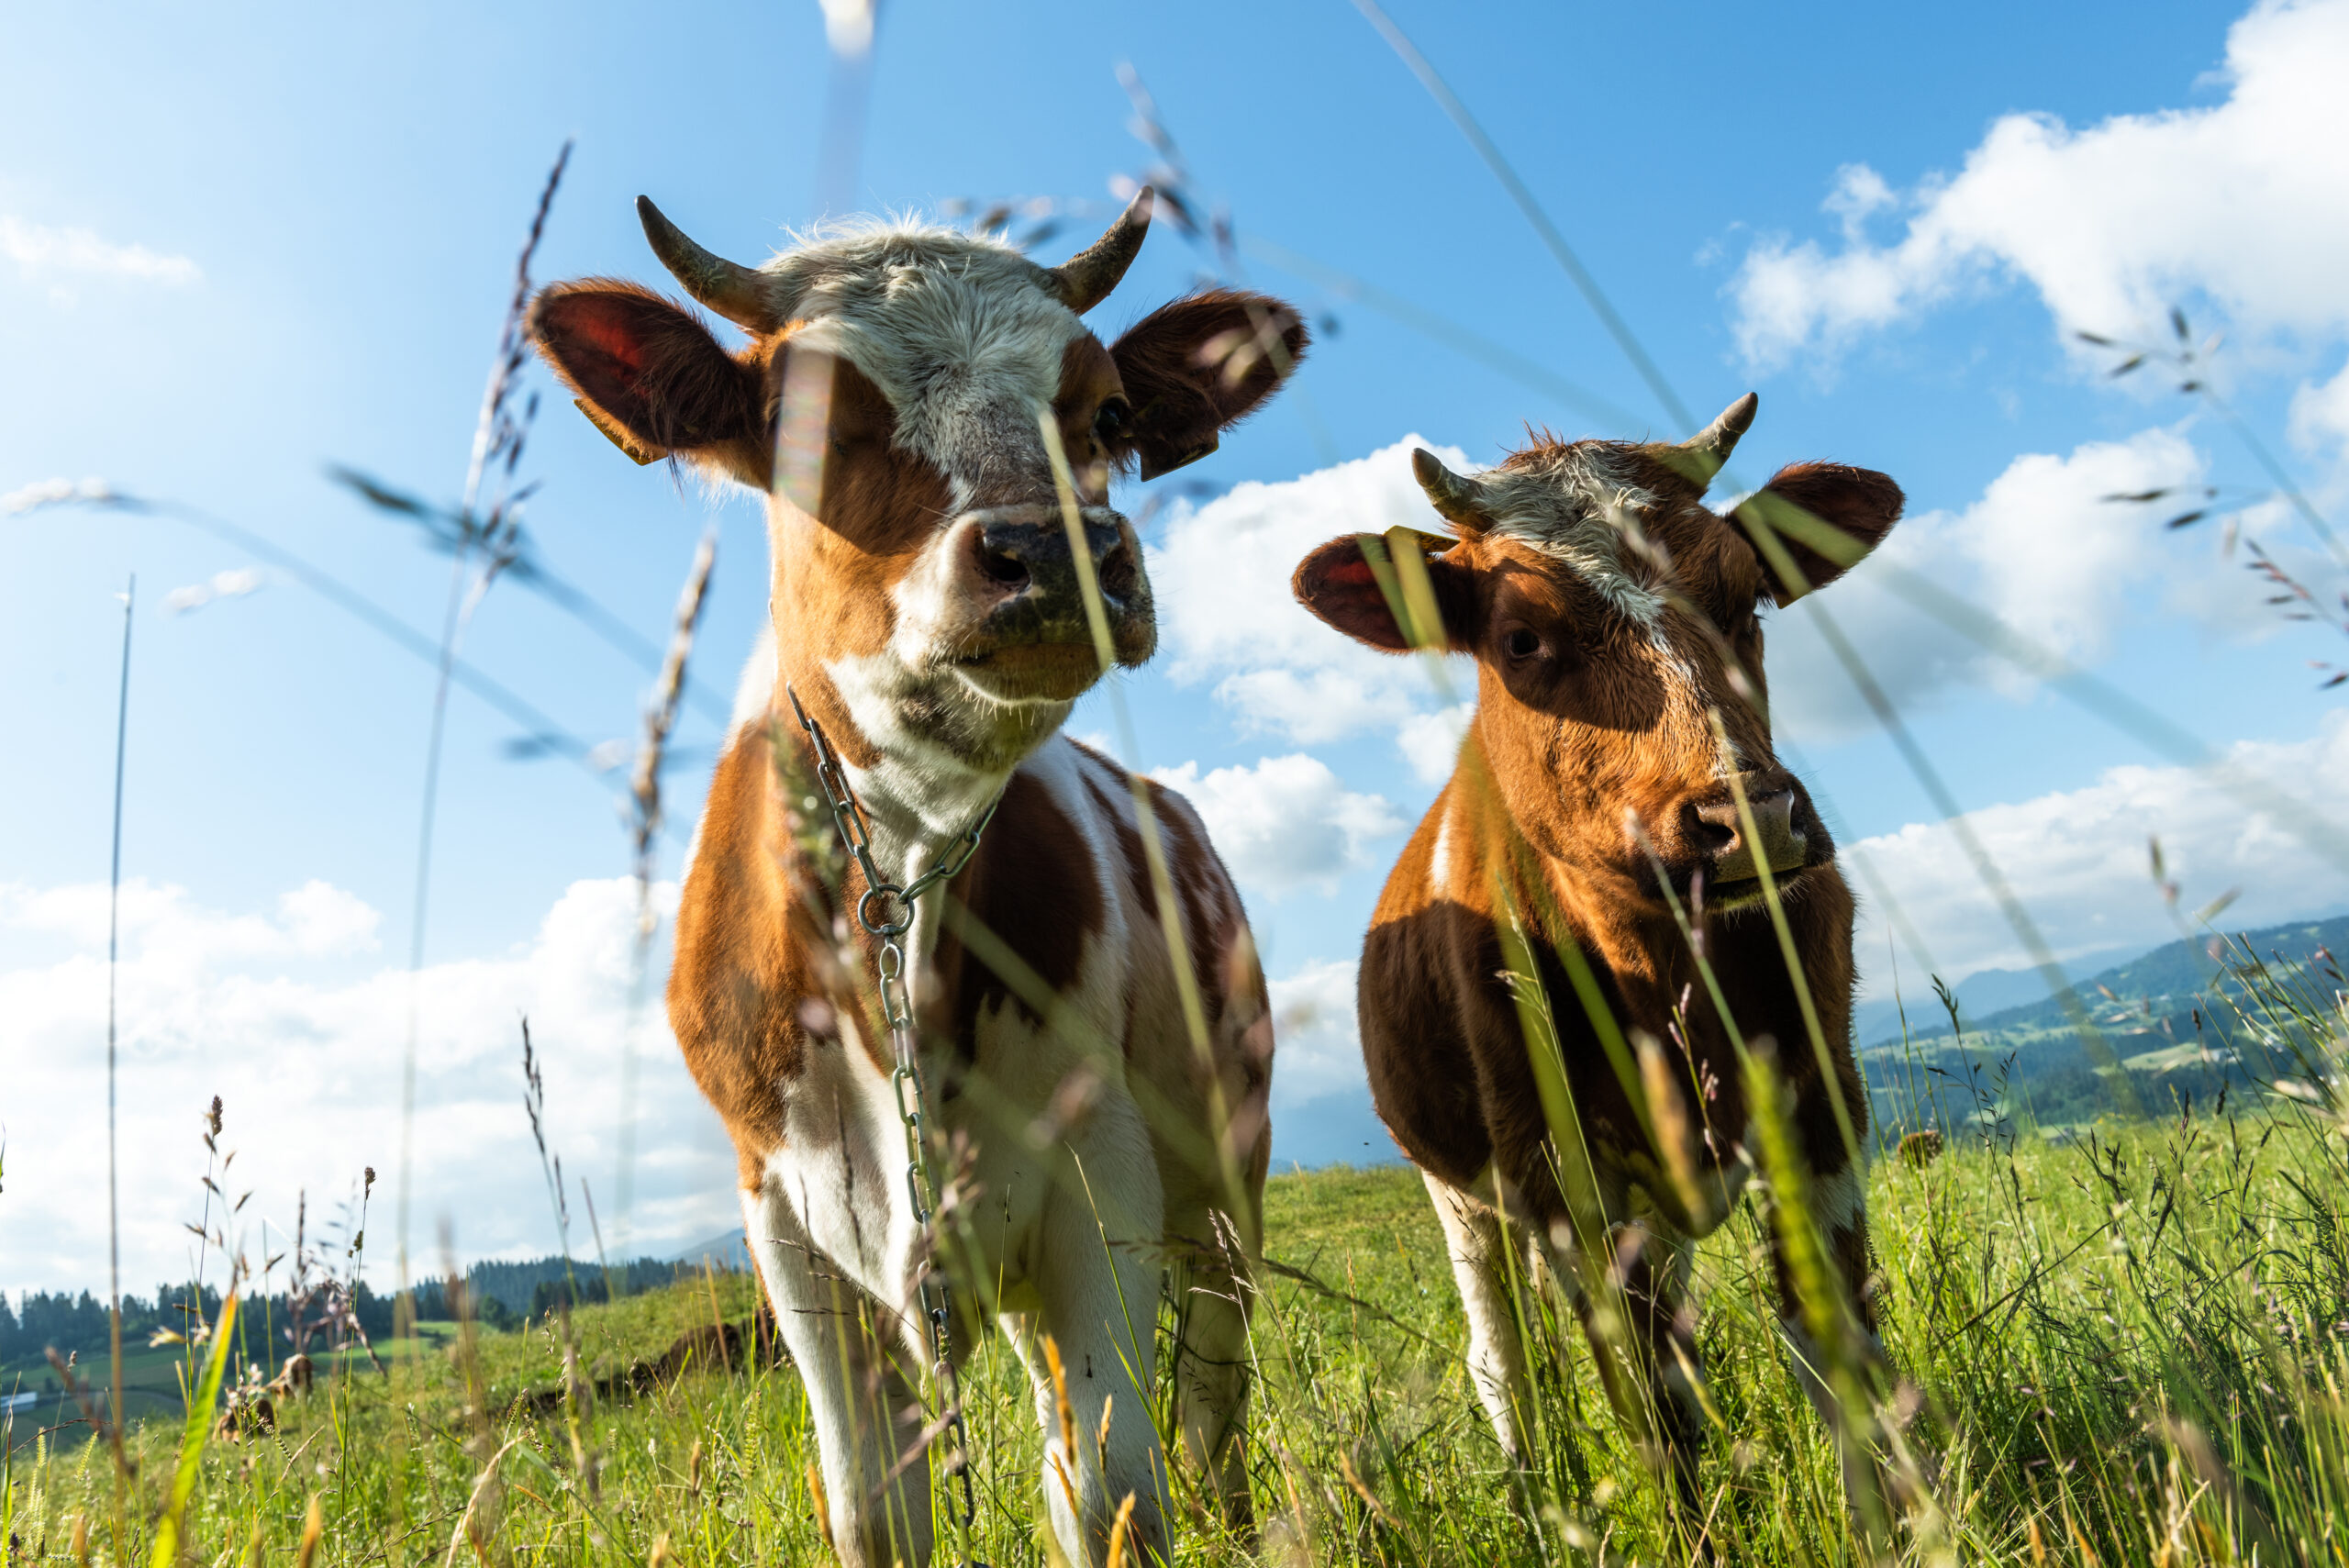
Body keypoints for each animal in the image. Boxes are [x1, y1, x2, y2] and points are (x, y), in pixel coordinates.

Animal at [528, 191, 1302, 1568]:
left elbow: (1117, 1498)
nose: (1051, 548)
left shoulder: (1102, 1174)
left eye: (1107, 416)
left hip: (1227, 1177)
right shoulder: (784, 1220)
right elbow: (877, 1511)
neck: (894, 900)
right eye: (808, 420)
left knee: (1206, 1408)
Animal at [1290, 395, 1905, 1541]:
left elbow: (1835, 1348)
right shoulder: (1557, 1172)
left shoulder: (1820, 1101)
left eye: (1747, 596)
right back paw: (1536, 1497)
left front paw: (1895, 1524)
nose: (1749, 817)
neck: (1663, 970)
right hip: (1460, 1193)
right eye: (1520, 636)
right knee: (1504, 1363)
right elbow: (1647, 1408)